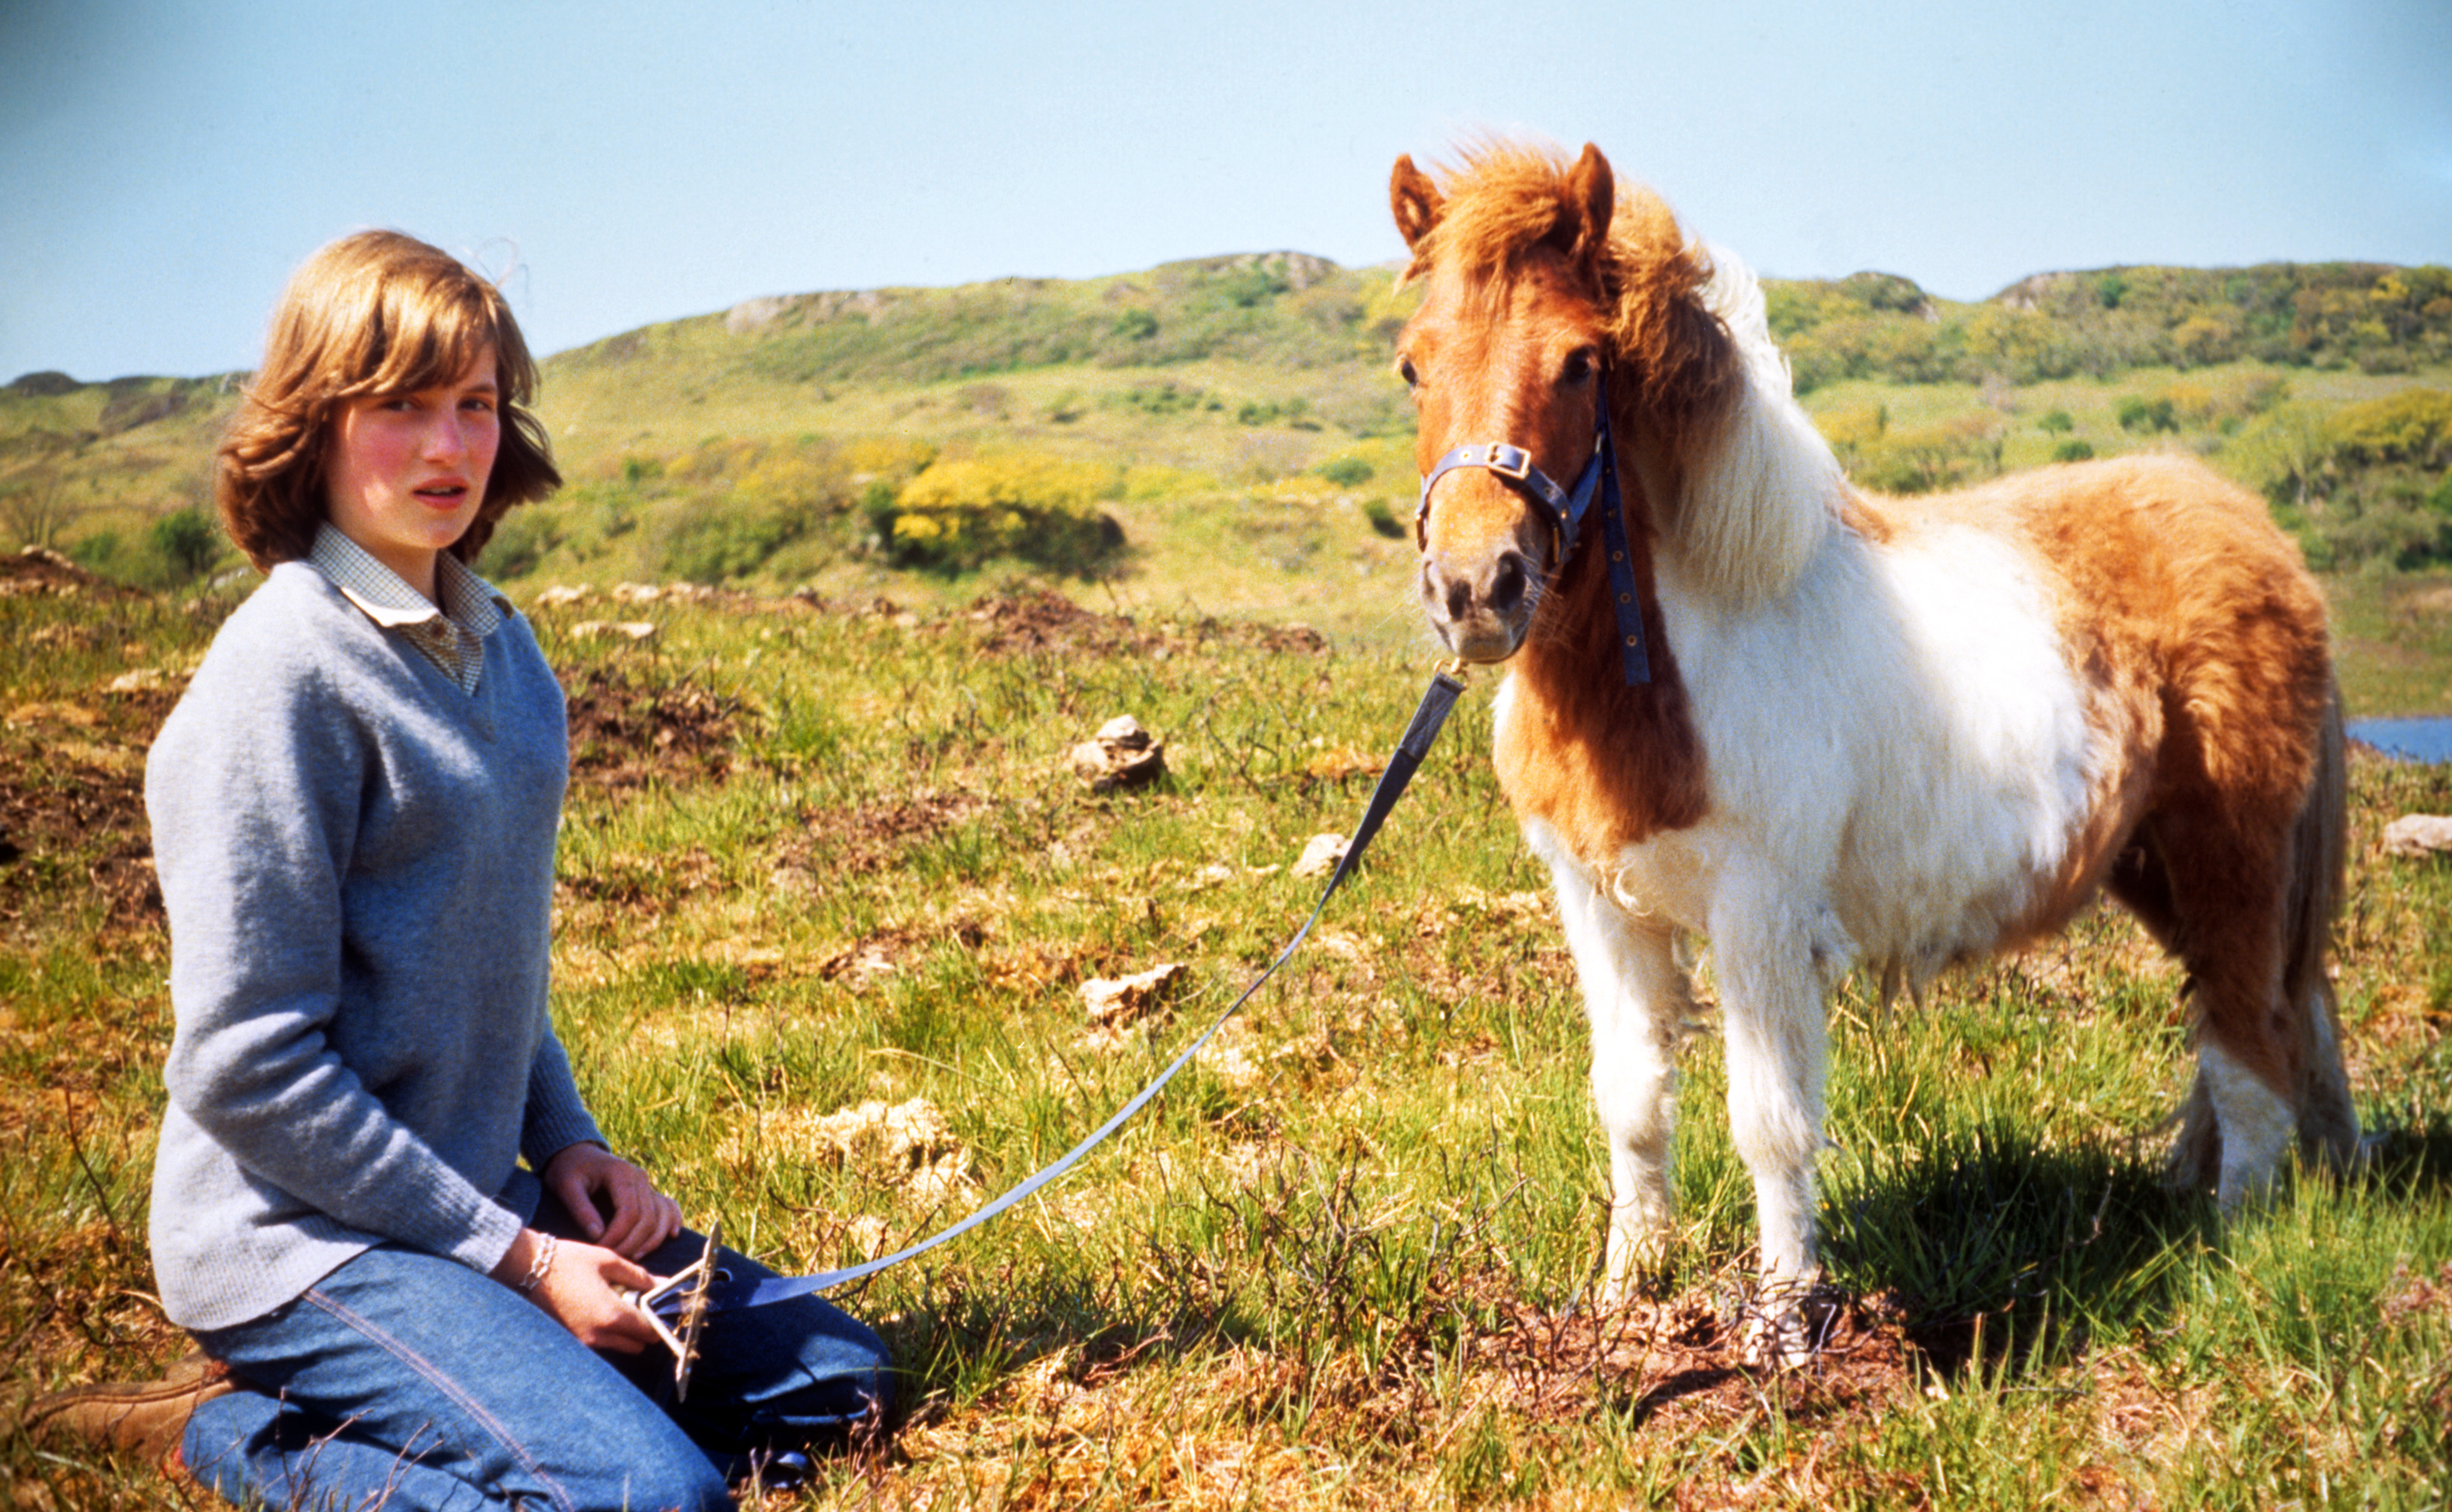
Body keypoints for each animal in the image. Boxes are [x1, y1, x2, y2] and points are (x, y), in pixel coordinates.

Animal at [1388, 139, 2360, 1351]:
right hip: (2157, 870)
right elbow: (1632, 1102)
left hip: (2231, 864)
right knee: (2263, 1030)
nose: (1477, 588)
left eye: (1579, 362)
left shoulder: (1759, 914)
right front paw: (1624, 1300)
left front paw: (1782, 1320)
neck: (1686, 651)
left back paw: (2233, 1247)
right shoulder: (1599, 905)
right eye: (1413, 367)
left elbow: (1769, 1121)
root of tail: (2262, 536)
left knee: (2252, 1054)